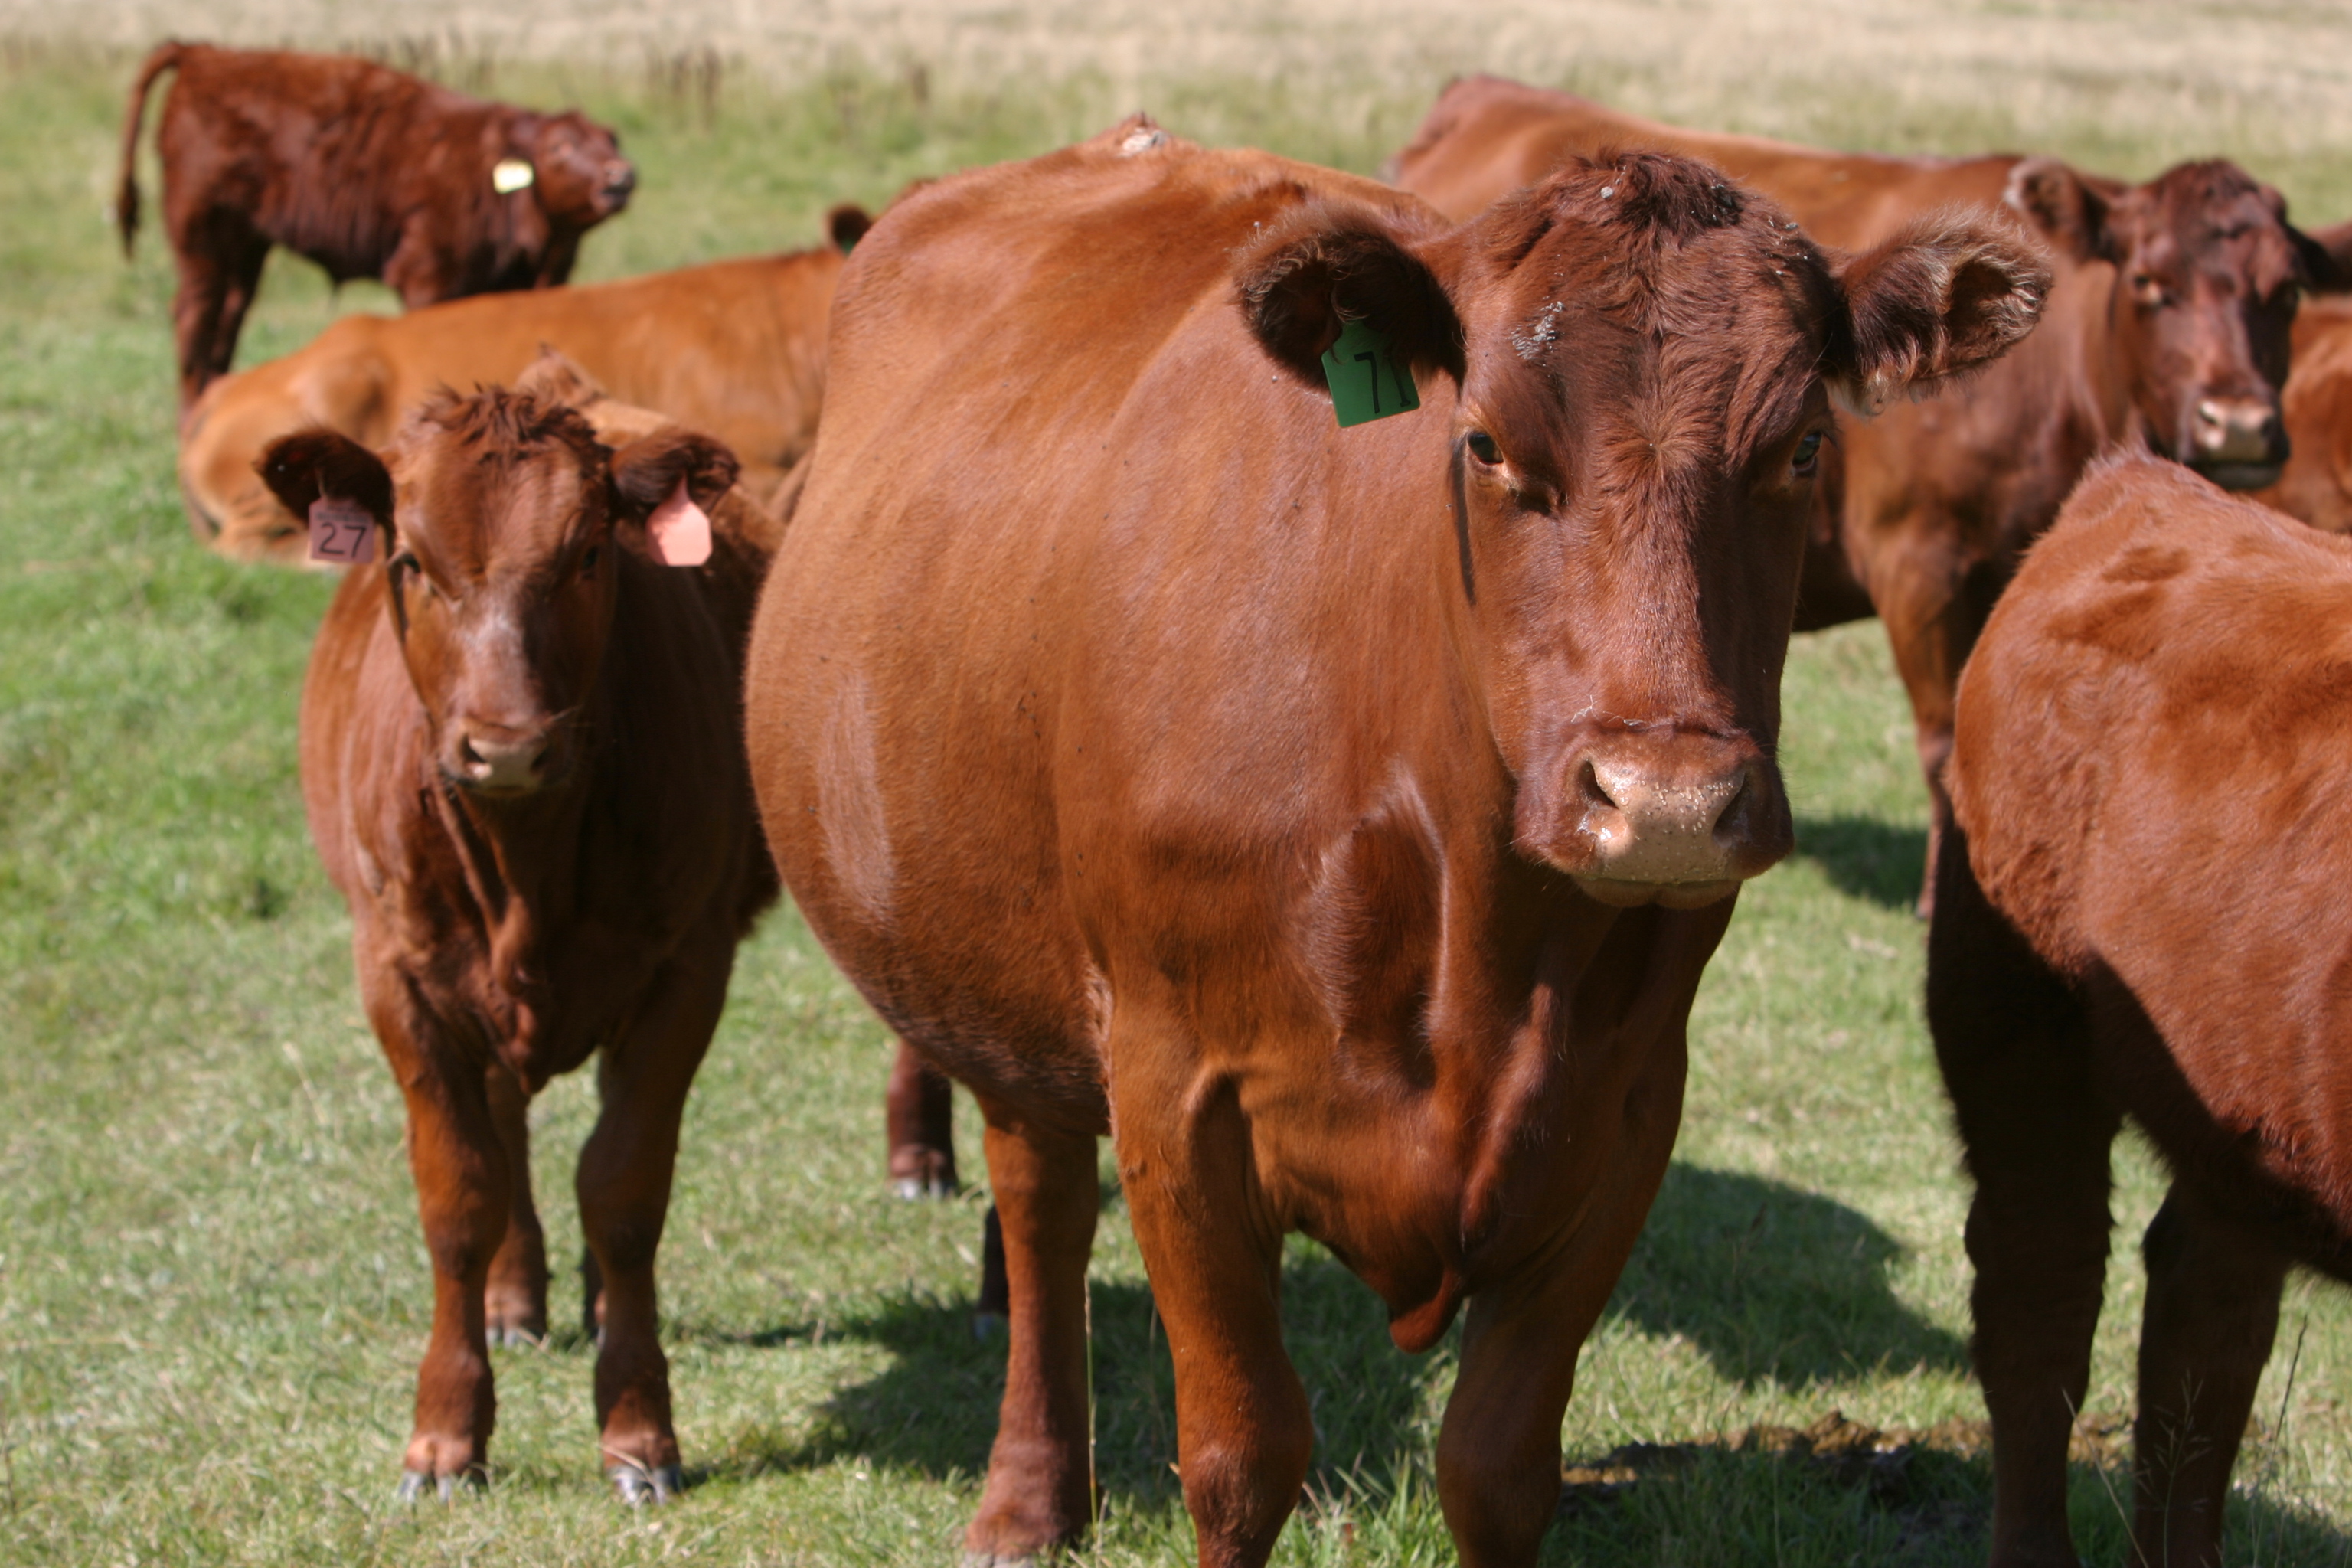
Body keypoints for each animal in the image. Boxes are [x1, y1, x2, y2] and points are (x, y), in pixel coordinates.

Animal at [118, 41, 637, 410]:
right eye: (561, 147)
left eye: (611, 139)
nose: (621, 176)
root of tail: (204, 55)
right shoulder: (428, 272)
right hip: (202, 233)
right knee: (195, 317)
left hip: (246, 245)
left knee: (228, 318)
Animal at [268, 357, 777, 1502]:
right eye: (410, 559)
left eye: (588, 554)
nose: (506, 747)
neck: (525, 862)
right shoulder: (400, 979)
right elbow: (460, 1194)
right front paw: (445, 1434)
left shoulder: (688, 967)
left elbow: (624, 1187)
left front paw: (638, 1433)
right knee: (503, 1131)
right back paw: (514, 1299)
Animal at [741, 116, 2047, 1566]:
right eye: (1482, 443)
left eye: (1806, 447)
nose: (1661, 798)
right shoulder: (1175, 1093)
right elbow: (1240, 1456)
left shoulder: (1622, 1109)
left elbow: (1497, 1465)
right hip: (998, 979)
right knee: (1040, 1208)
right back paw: (1028, 1501)